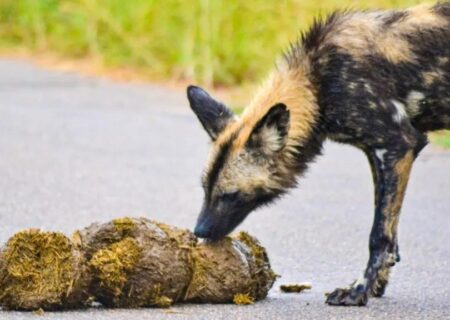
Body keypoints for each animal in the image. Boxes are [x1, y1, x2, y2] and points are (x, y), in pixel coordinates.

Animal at [185, 3, 448, 308]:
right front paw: (375, 286)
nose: (199, 231)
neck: (317, 83)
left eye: (230, 195)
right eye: (205, 189)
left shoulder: (399, 146)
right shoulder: (379, 153)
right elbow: (390, 237)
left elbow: (378, 235)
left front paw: (358, 292)